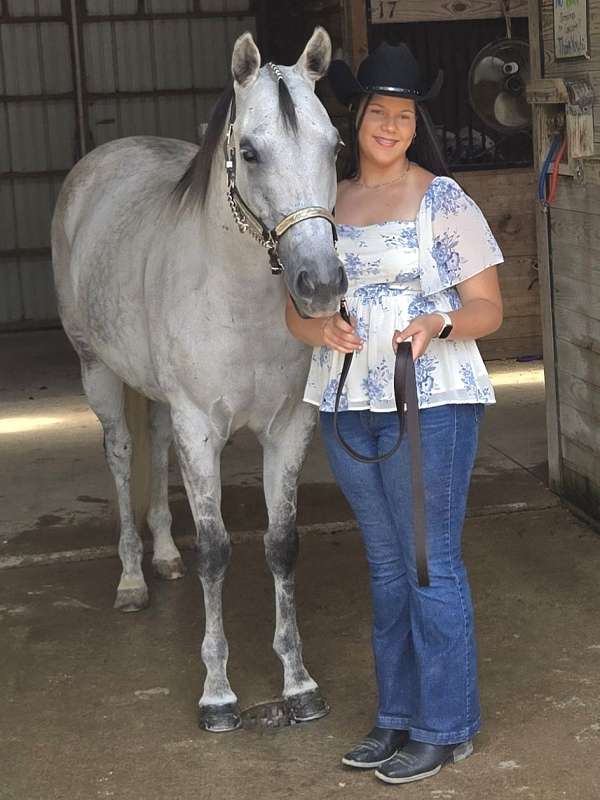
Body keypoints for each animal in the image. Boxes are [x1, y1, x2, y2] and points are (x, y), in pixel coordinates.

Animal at [51, 28, 346, 732]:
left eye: (335, 146)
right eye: (250, 151)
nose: (320, 285)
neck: (237, 297)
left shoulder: (287, 426)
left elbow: (281, 544)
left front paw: (298, 684)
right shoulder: (200, 426)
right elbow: (216, 550)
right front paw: (218, 693)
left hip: (161, 403)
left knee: (155, 449)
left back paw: (163, 556)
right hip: (97, 370)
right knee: (122, 453)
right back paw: (133, 579)